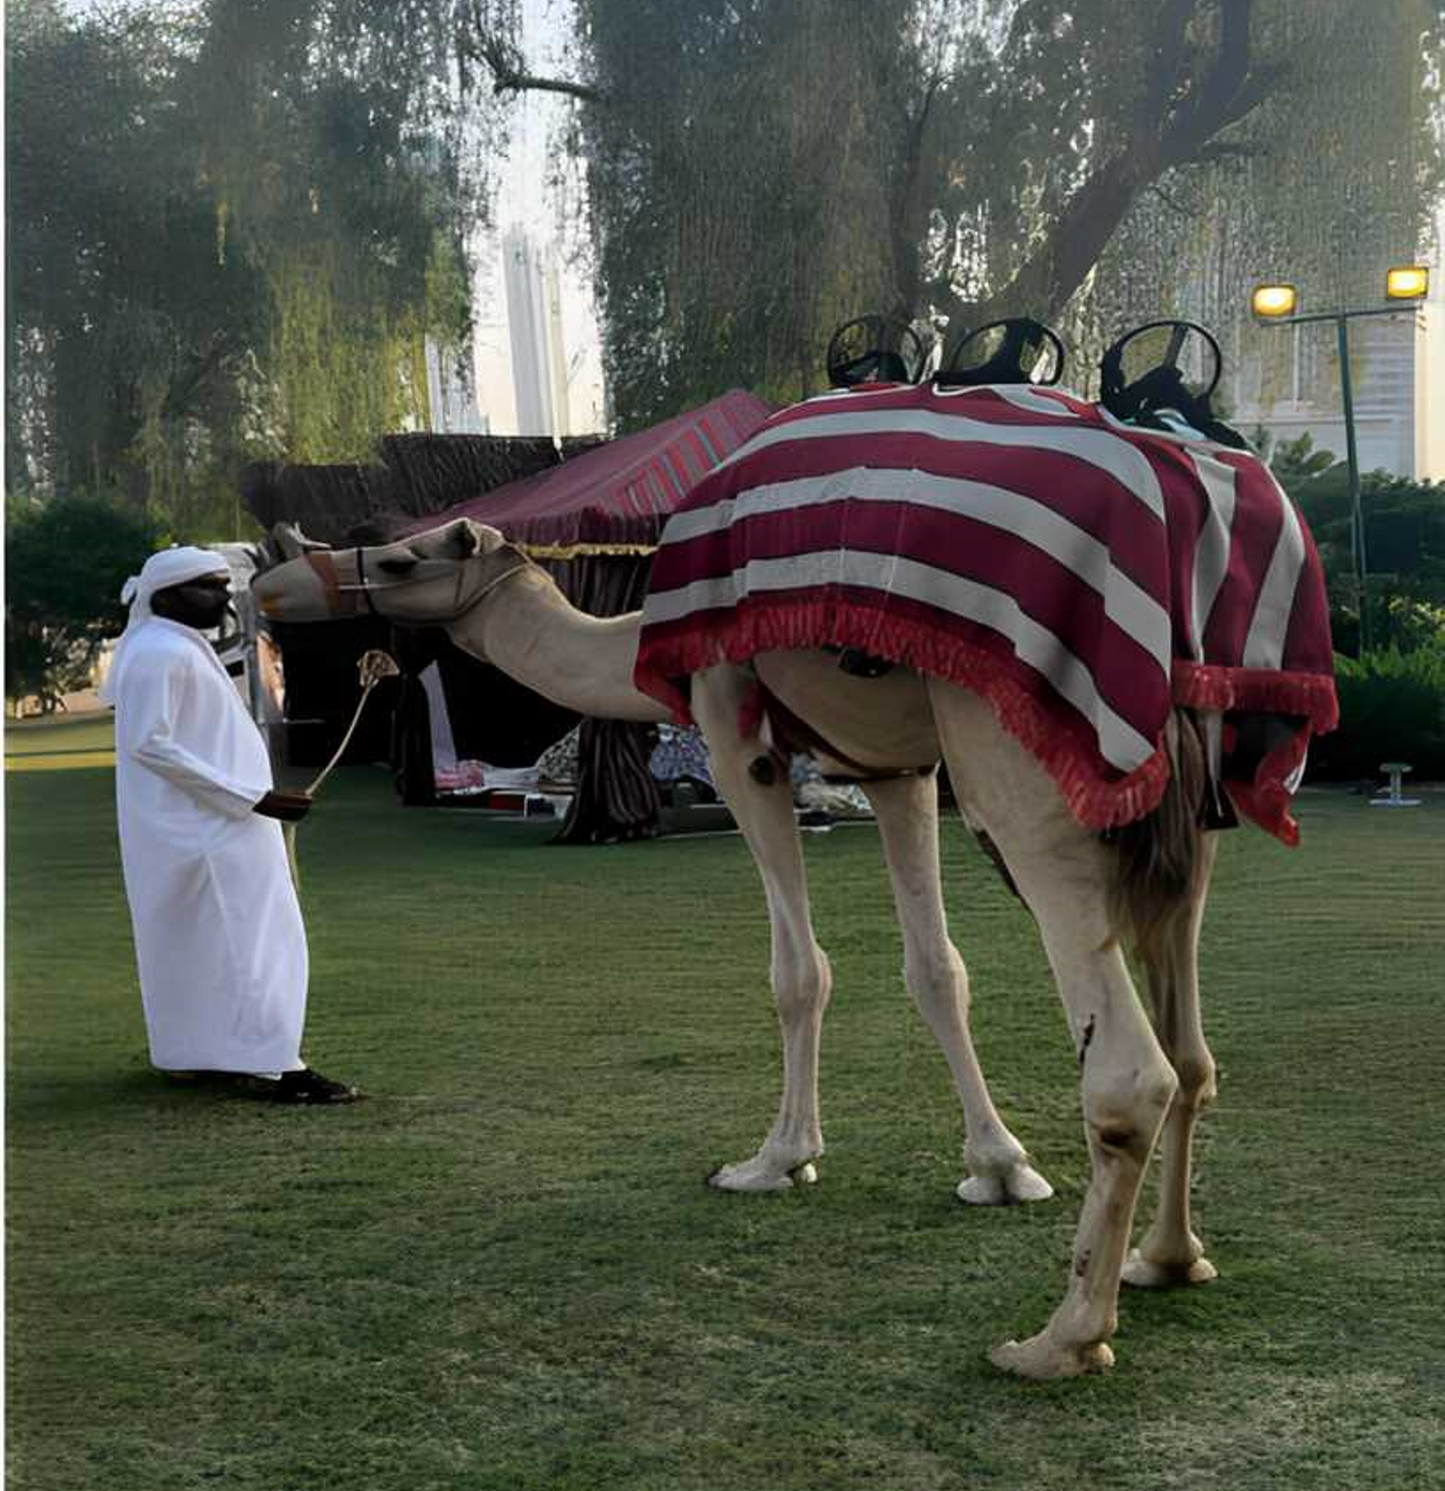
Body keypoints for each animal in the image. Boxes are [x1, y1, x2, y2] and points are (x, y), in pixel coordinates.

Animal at [253, 516, 1222, 1380]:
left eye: (399, 556)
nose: (273, 575)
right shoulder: (894, 764)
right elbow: (935, 967)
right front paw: (998, 1166)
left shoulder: (734, 730)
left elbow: (799, 971)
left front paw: (773, 1159)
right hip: (1181, 845)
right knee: (1191, 1054)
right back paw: (1167, 1259)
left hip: (1024, 787)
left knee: (1130, 1072)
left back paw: (1061, 1339)